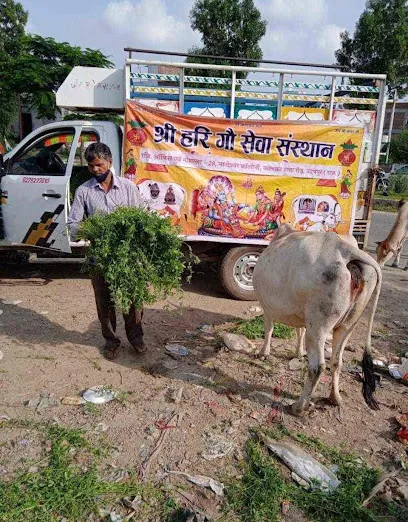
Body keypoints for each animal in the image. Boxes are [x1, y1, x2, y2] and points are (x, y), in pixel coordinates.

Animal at [252, 223, 382, 414]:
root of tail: (345, 249)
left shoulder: (266, 306)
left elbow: (269, 330)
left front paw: (264, 353)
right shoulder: (300, 314)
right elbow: (299, 331)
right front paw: (299, 352)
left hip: (318, 325)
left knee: (317, 366)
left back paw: (299, 406)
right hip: (348, 324)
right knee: (336, 361)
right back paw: (334, 398)